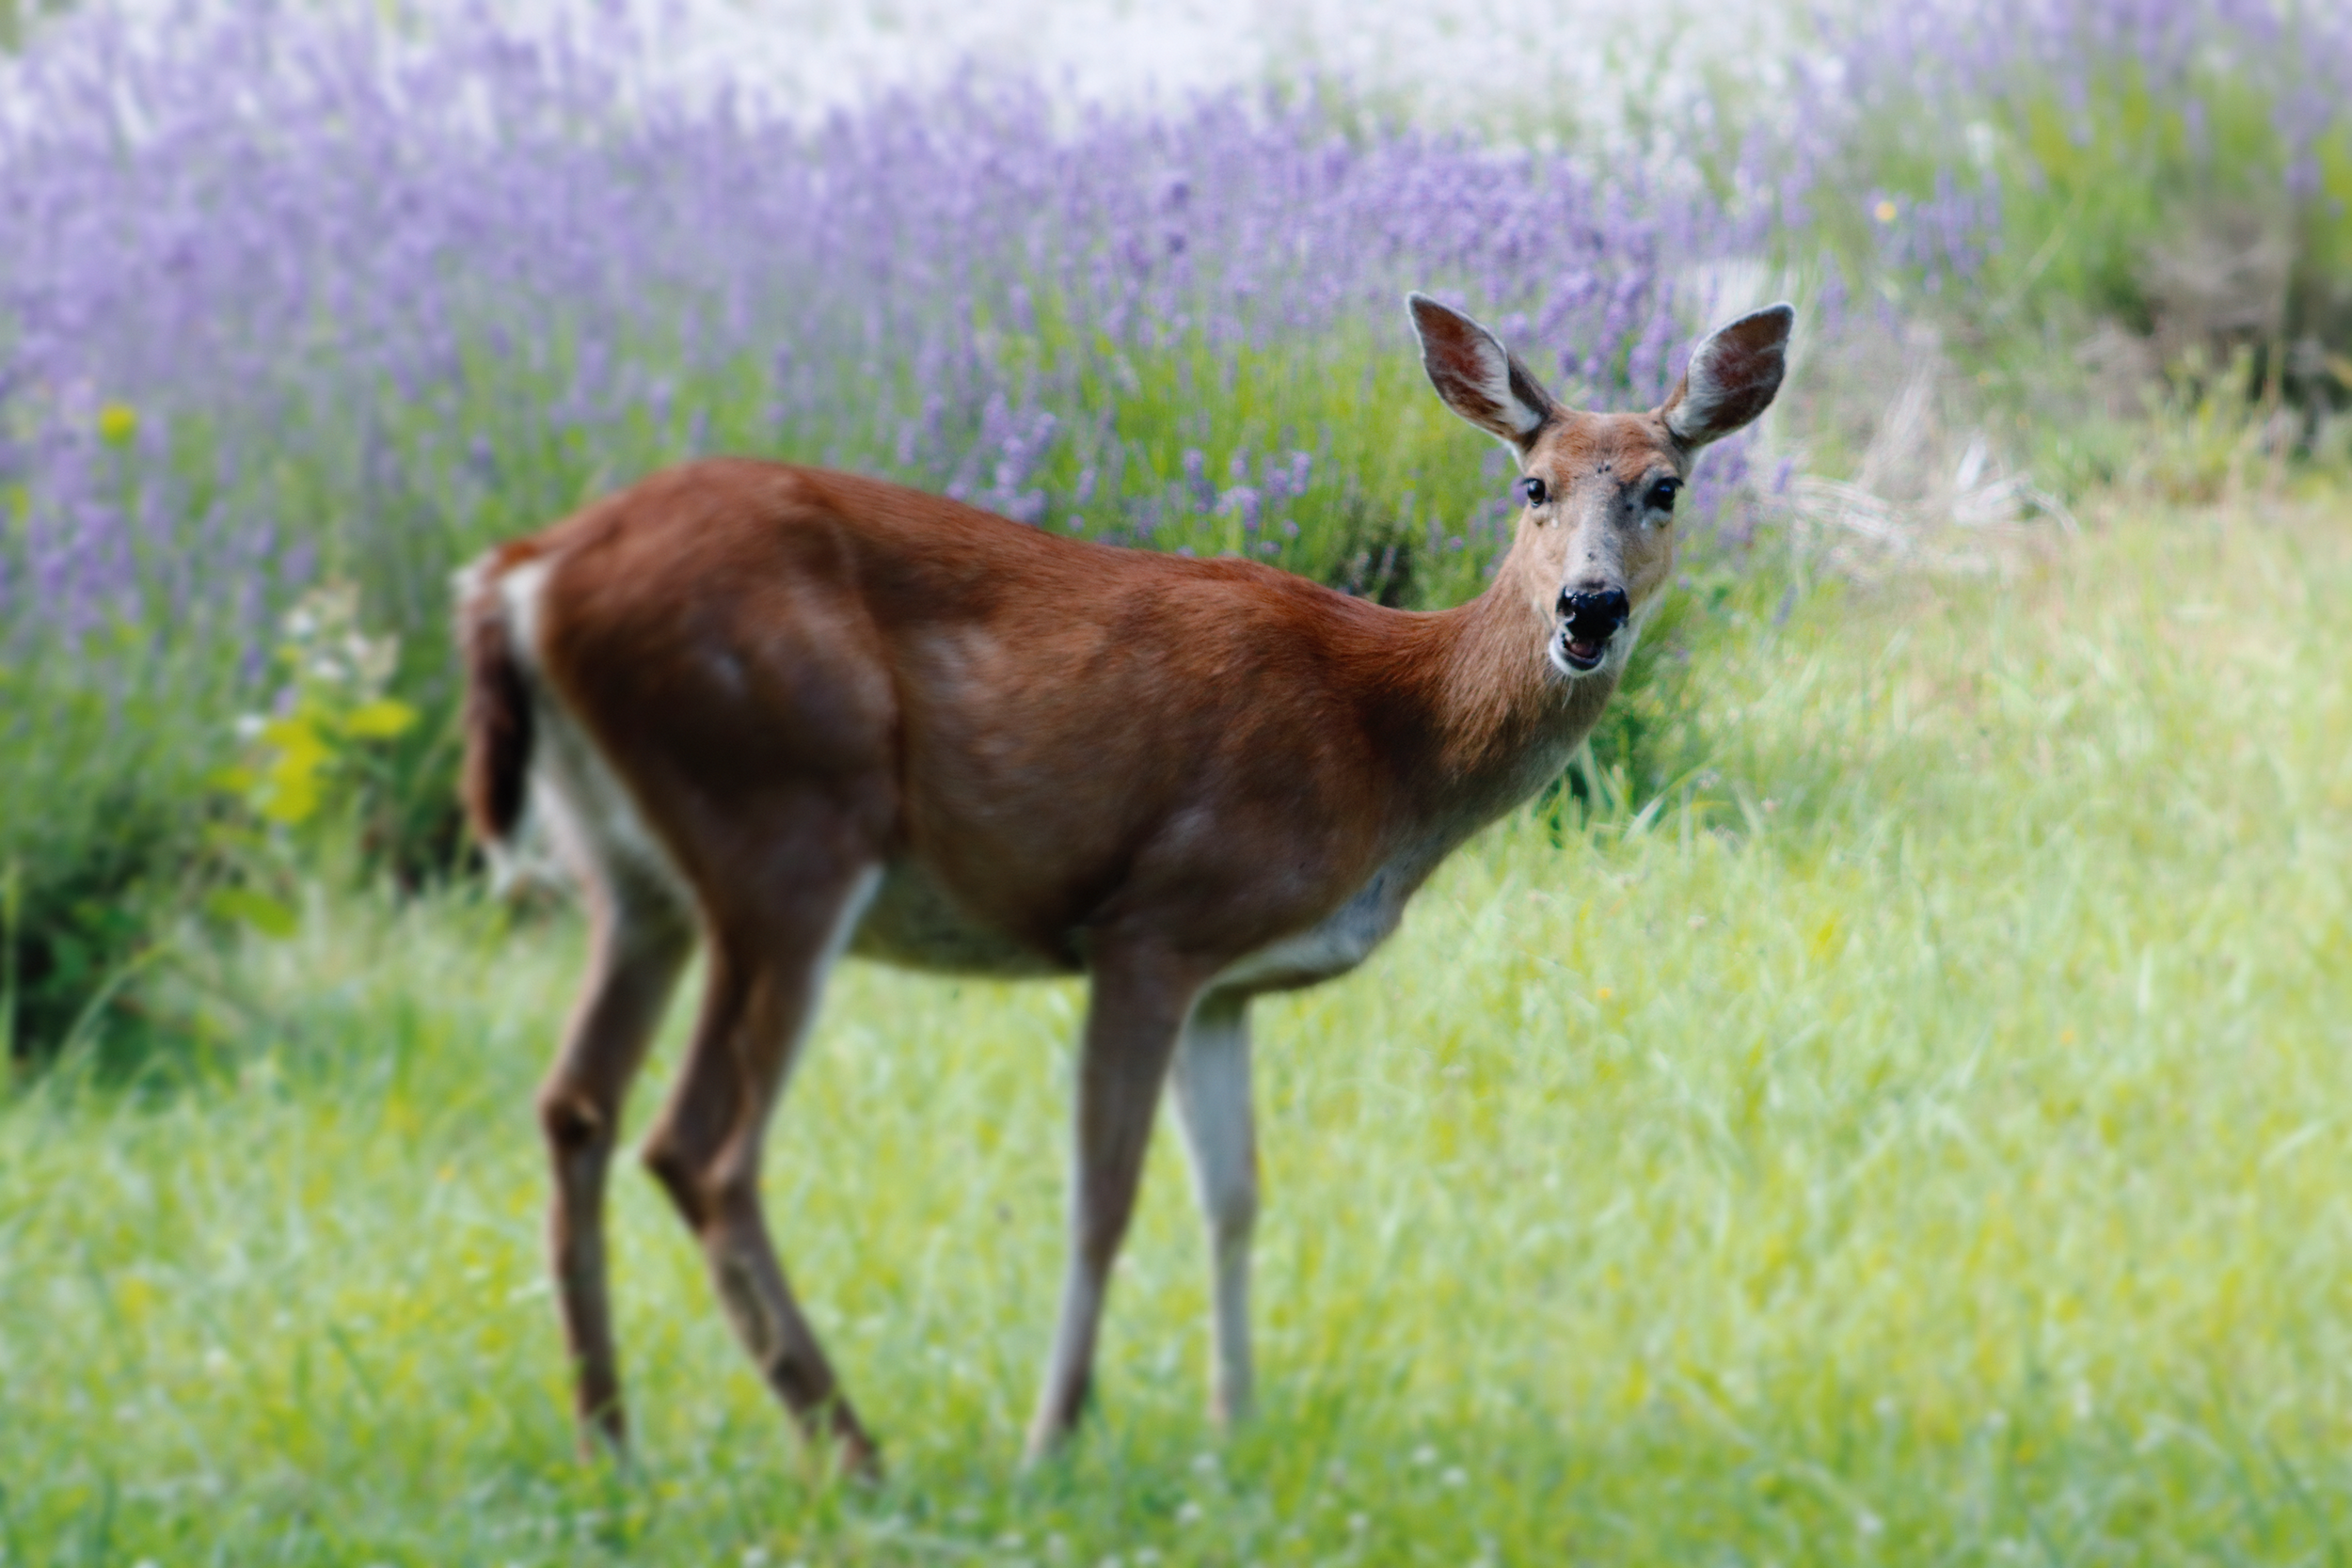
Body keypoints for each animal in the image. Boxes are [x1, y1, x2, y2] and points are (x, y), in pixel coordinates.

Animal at [455, 292, 1792, 1475]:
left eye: (1664, 486)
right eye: (1532, 487)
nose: (1587, 604)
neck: (1388, 740)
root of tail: (524, 572)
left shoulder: (1227, 982)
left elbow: (1235, 1194)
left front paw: (1232, 1428)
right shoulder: (1153, 920)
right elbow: (1102, 1194)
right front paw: (1054, 1439)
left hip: (639, 873)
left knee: (575, 1105)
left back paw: (611, 1442)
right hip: (786, 824)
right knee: (701, 1146)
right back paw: (851, 1452)